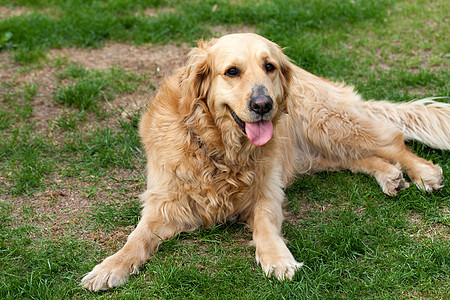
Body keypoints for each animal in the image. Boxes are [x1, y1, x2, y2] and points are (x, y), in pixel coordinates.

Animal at [81, 32, 450, 290]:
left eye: (269, 66)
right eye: (231, 72)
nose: (263, 104)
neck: (220, 149)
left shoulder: (266, 194)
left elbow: (265, 227)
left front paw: (277, 258)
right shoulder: (164, 203)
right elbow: (136, 238)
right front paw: (109, 267)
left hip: (328, 123)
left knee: (392, 141)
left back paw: (421, 172)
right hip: (318, 146)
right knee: (359, 159)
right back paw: (390, 176)